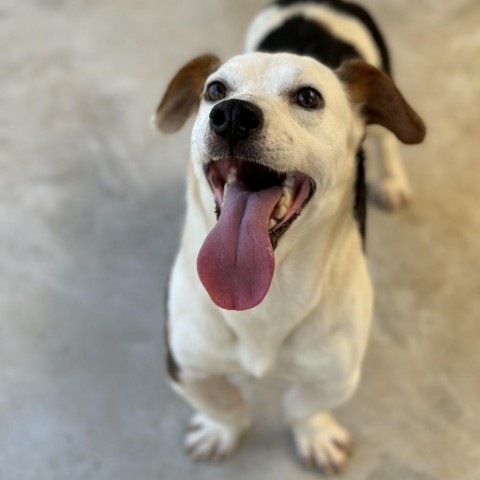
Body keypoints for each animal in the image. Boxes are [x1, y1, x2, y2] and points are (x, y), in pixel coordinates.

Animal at [153, 0, 424, 472]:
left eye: (309, 97)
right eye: (214, 90)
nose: (232, 114)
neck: (269, 289)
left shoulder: (336, 373)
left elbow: (302, 405)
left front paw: (316, 435)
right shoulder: (185, 362)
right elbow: (221, 402)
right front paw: (221, 431)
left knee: (387, 142)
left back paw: (391, 181)